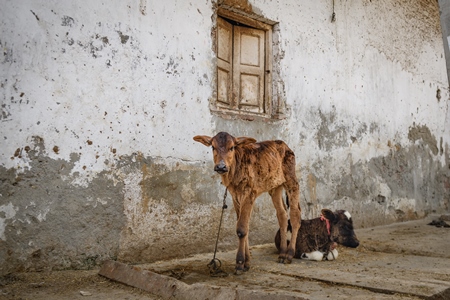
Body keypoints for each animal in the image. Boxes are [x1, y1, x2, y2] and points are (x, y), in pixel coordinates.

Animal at [192, 132, 300, 274]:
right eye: (213, 147)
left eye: (232, 147)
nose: (221, 166)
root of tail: (283, 144)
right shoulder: (235, 197)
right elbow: (245, 227)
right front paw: (247, 263)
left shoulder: (249, 194)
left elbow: (242, 229)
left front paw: (239, 263)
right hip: (275, 187)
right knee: (282, 214)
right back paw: (282, 253)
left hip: (291, 181)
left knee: (295, 216)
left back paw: (289, 254)